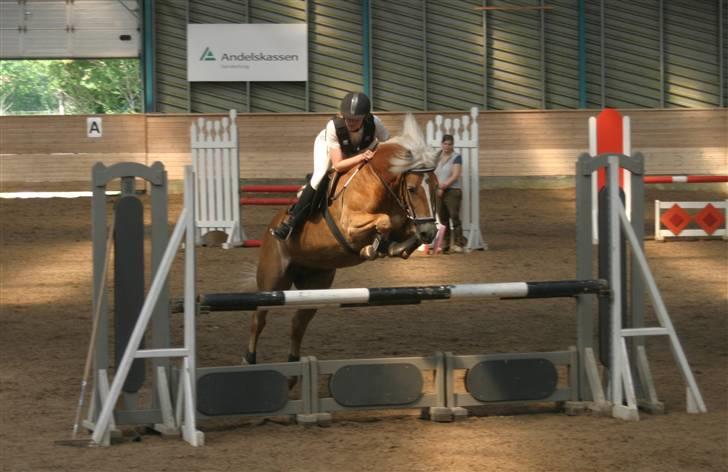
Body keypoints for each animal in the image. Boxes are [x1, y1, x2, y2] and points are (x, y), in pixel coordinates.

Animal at [243, 114, 438, 366]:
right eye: (413, 189)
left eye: (435, 186)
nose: (430, 233)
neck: (379, 183)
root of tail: (271, 228)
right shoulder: (350, 226)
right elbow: (383, 222)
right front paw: (372, 248)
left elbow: (404, 232)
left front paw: (396, 248)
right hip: (273, 280)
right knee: (259, 317)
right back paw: (249, 359)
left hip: (316, 284)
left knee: (298, 323)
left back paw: (294, 365)